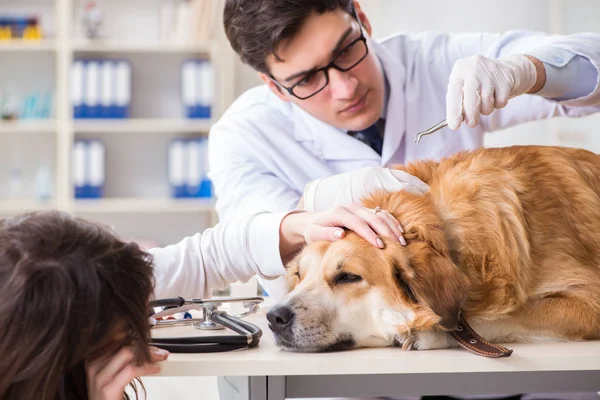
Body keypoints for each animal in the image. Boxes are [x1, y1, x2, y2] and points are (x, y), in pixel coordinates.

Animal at [266, 145, 600, 352]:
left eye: (348, 277)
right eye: (299, 276)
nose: (274, 317)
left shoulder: (589, 301)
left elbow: (496, 318)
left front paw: (432, 333)